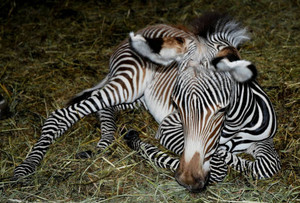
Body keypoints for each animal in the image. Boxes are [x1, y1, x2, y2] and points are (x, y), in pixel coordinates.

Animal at [11, 11, 278, 193]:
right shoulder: (169, 128)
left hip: (137, 99)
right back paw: (25, 169)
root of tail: (150, 25)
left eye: (222, 109)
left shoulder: (264, 142)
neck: (233, 127)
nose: (188, 180)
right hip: (129, 82)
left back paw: (105, 140)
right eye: (177, 104)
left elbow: (267, 166)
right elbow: (218, 166)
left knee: (105, 108)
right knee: (61, 115)